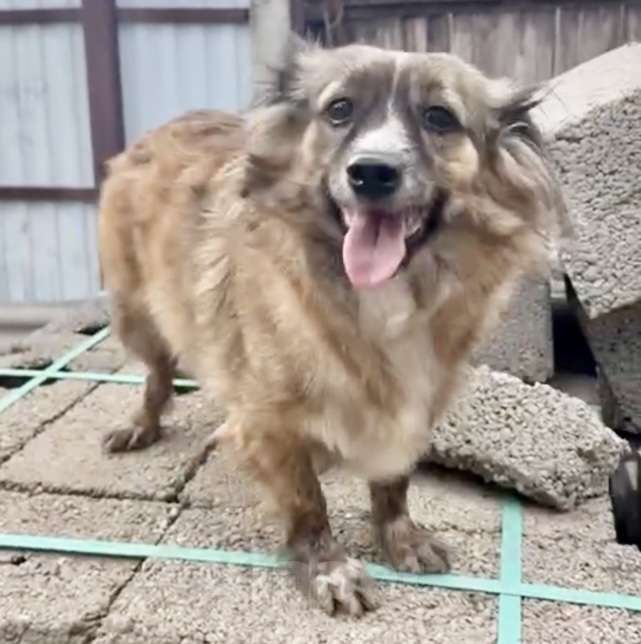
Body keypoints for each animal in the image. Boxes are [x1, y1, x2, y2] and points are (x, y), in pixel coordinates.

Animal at [97, 35, 564, 612]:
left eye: (439, 117)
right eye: (339, 109)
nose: (372, 172)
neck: (375, 299)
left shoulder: (418, 399)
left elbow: (394, 480)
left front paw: (399, 536)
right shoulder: (270, 417)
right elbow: (305, 500)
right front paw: (328, 567)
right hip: (137, 315)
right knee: (158, 375)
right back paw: (143, 423)